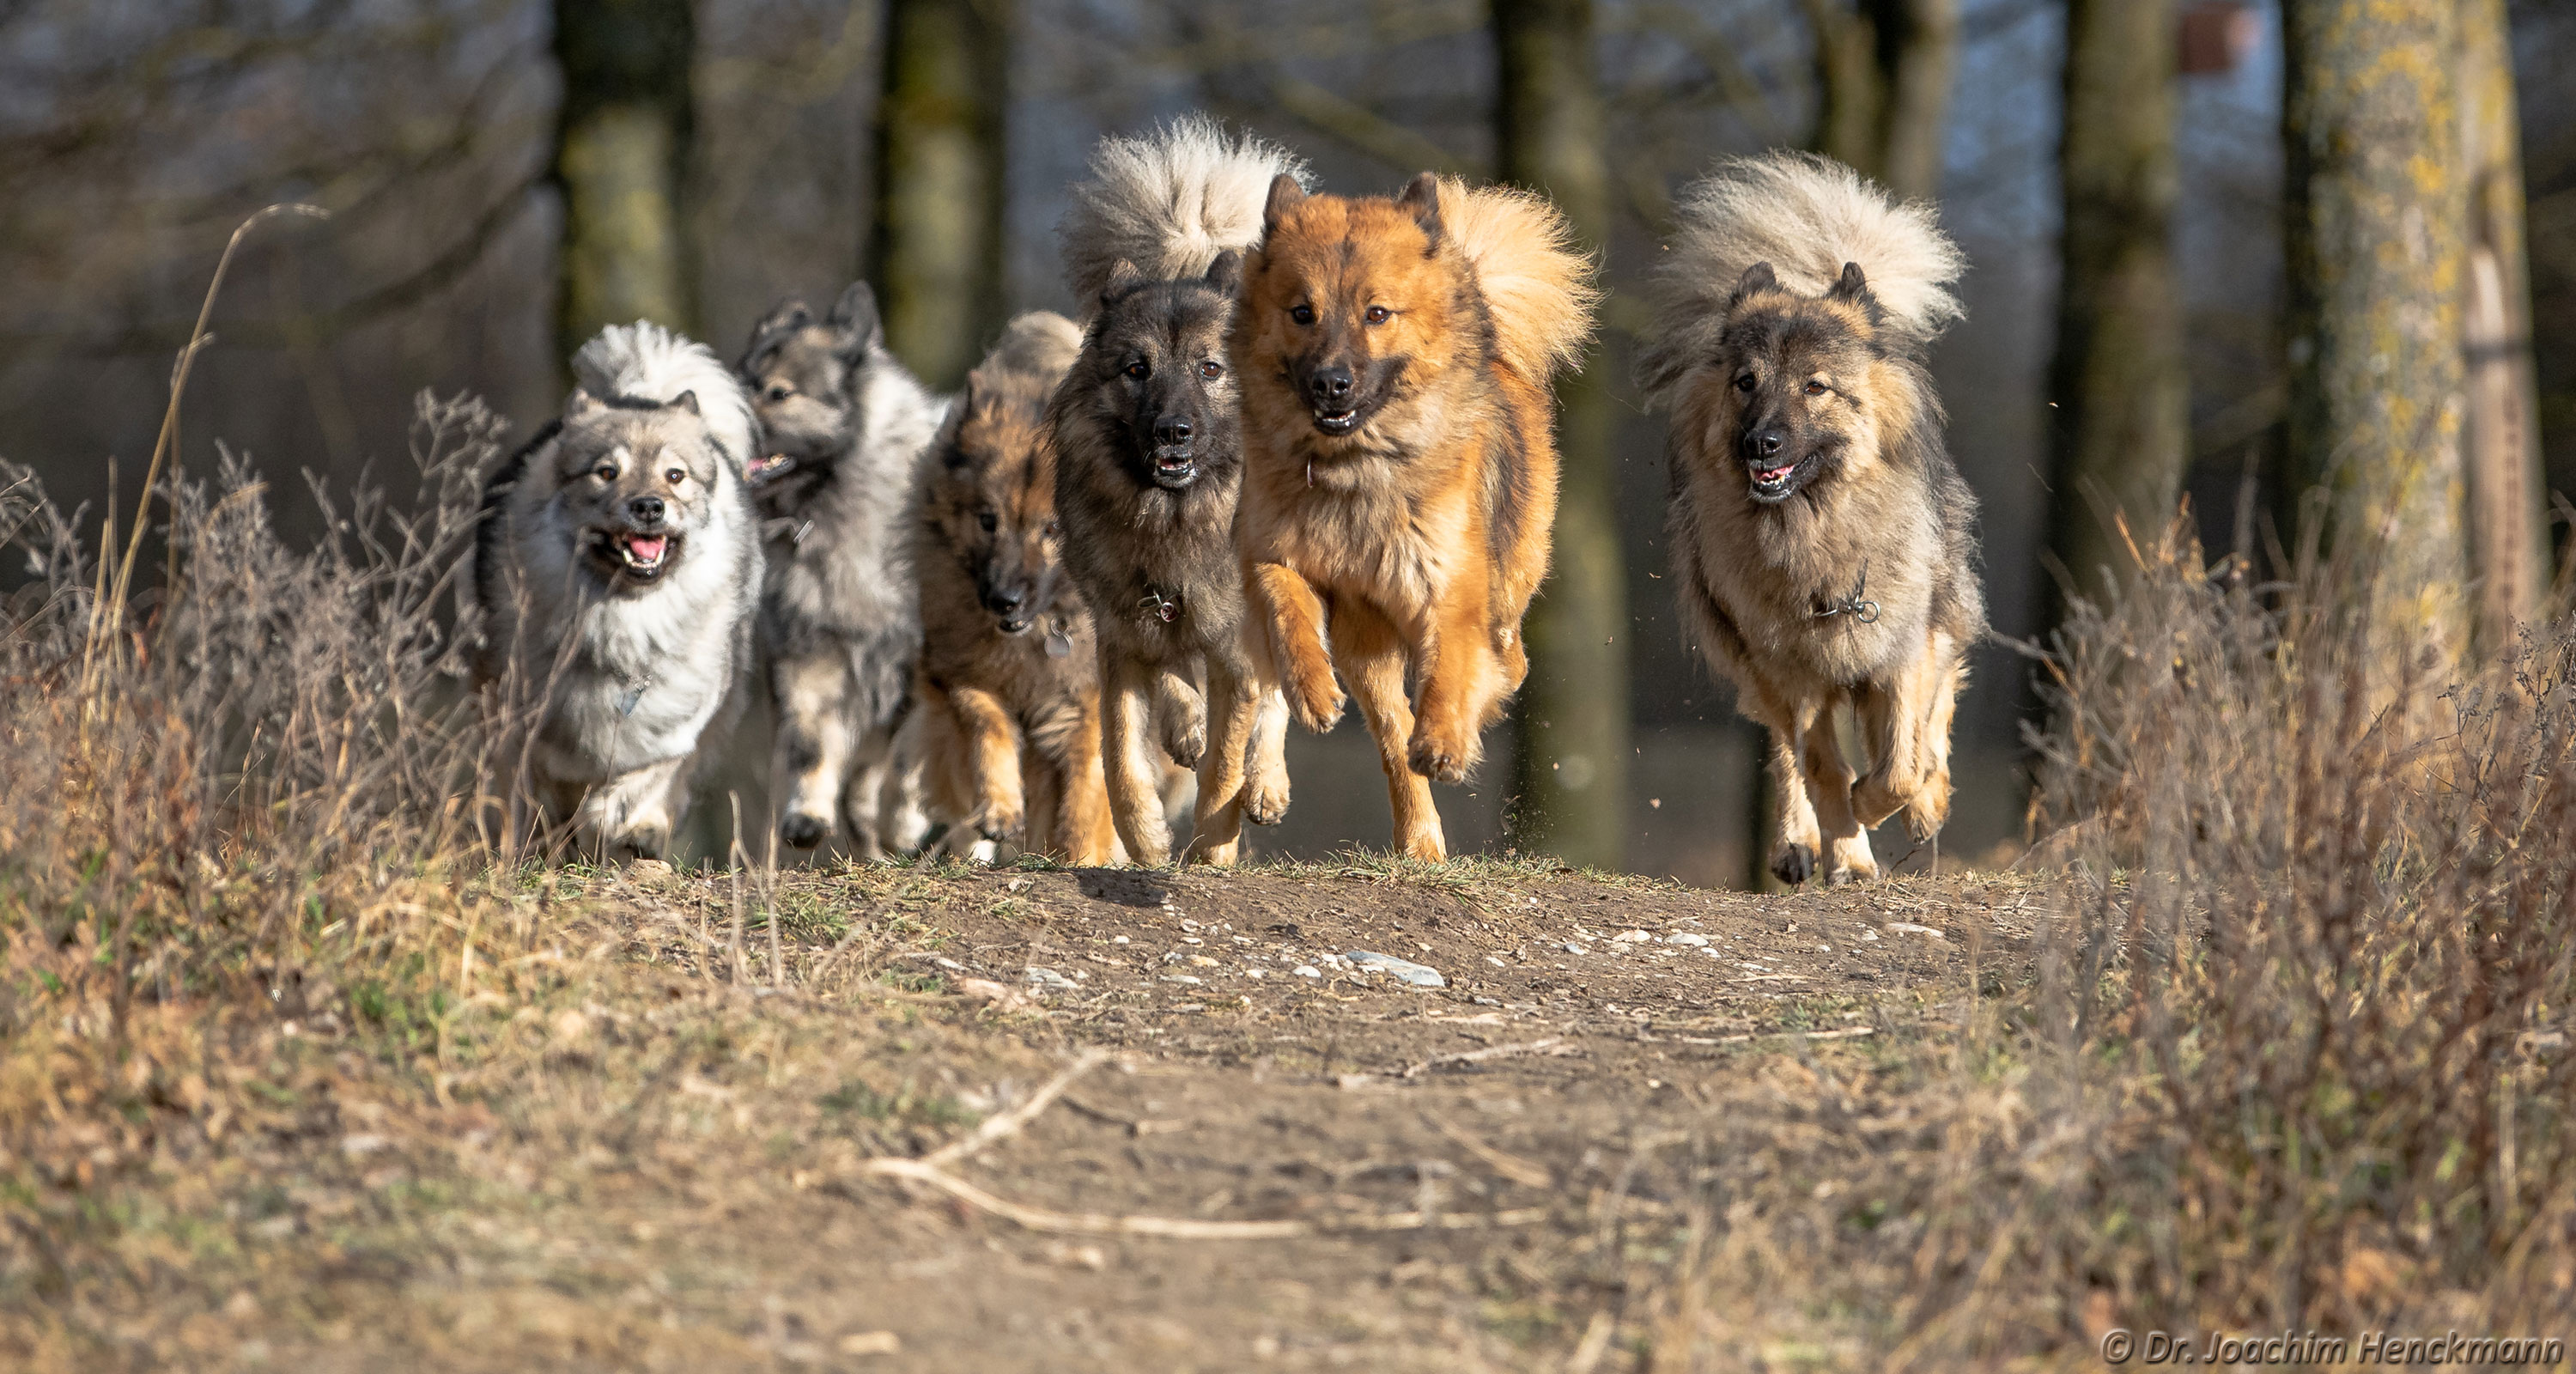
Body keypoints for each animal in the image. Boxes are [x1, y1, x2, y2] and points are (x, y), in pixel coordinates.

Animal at [474, 320, 757, 855]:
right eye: (607, 473)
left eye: (675, 476)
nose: (649, 506)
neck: (624, 619)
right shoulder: (521, 721)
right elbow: (528, 795)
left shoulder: (681, 725)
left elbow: (649, 778)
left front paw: (622, 822)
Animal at [737, 281, 948, 855]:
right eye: (740, 383)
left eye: (778, 394)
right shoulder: (811, 657)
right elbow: (811, 746)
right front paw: (807, 815)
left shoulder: (912, 669)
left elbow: (903, 758)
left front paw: (905, 821)